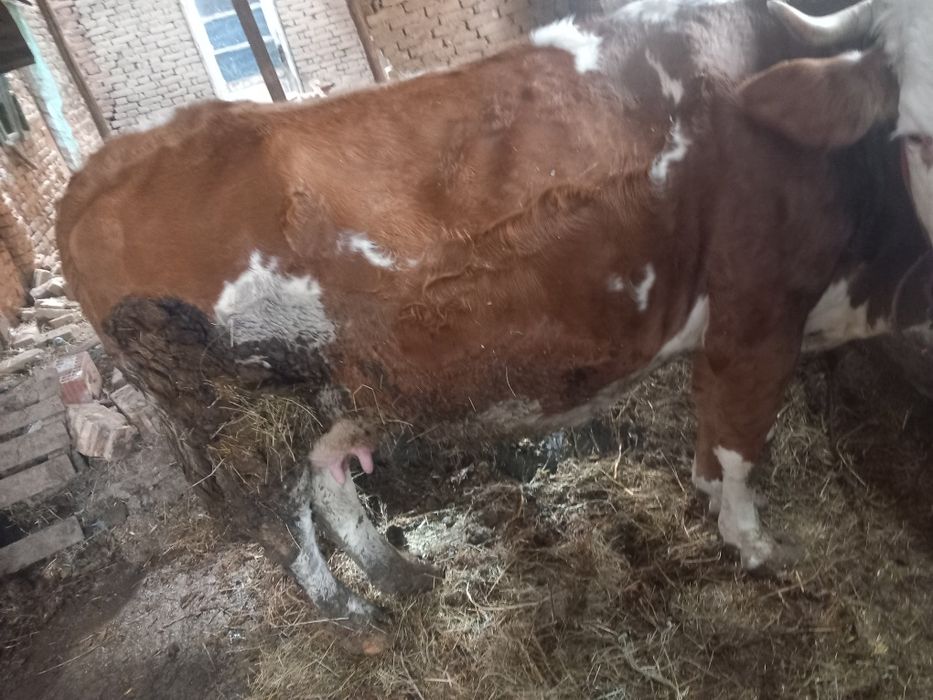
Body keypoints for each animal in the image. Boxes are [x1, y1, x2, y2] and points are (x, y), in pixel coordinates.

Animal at [56, 0, 933, 640]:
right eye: (918, 134)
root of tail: (98, 169)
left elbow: (712, 444)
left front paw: (710, 501)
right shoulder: (757, 321)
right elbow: (741, 448)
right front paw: (754, 545)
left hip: (321, 396)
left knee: (328, 487)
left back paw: (399, 575)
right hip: (235, 421)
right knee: (281, 523)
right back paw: (357, 615)